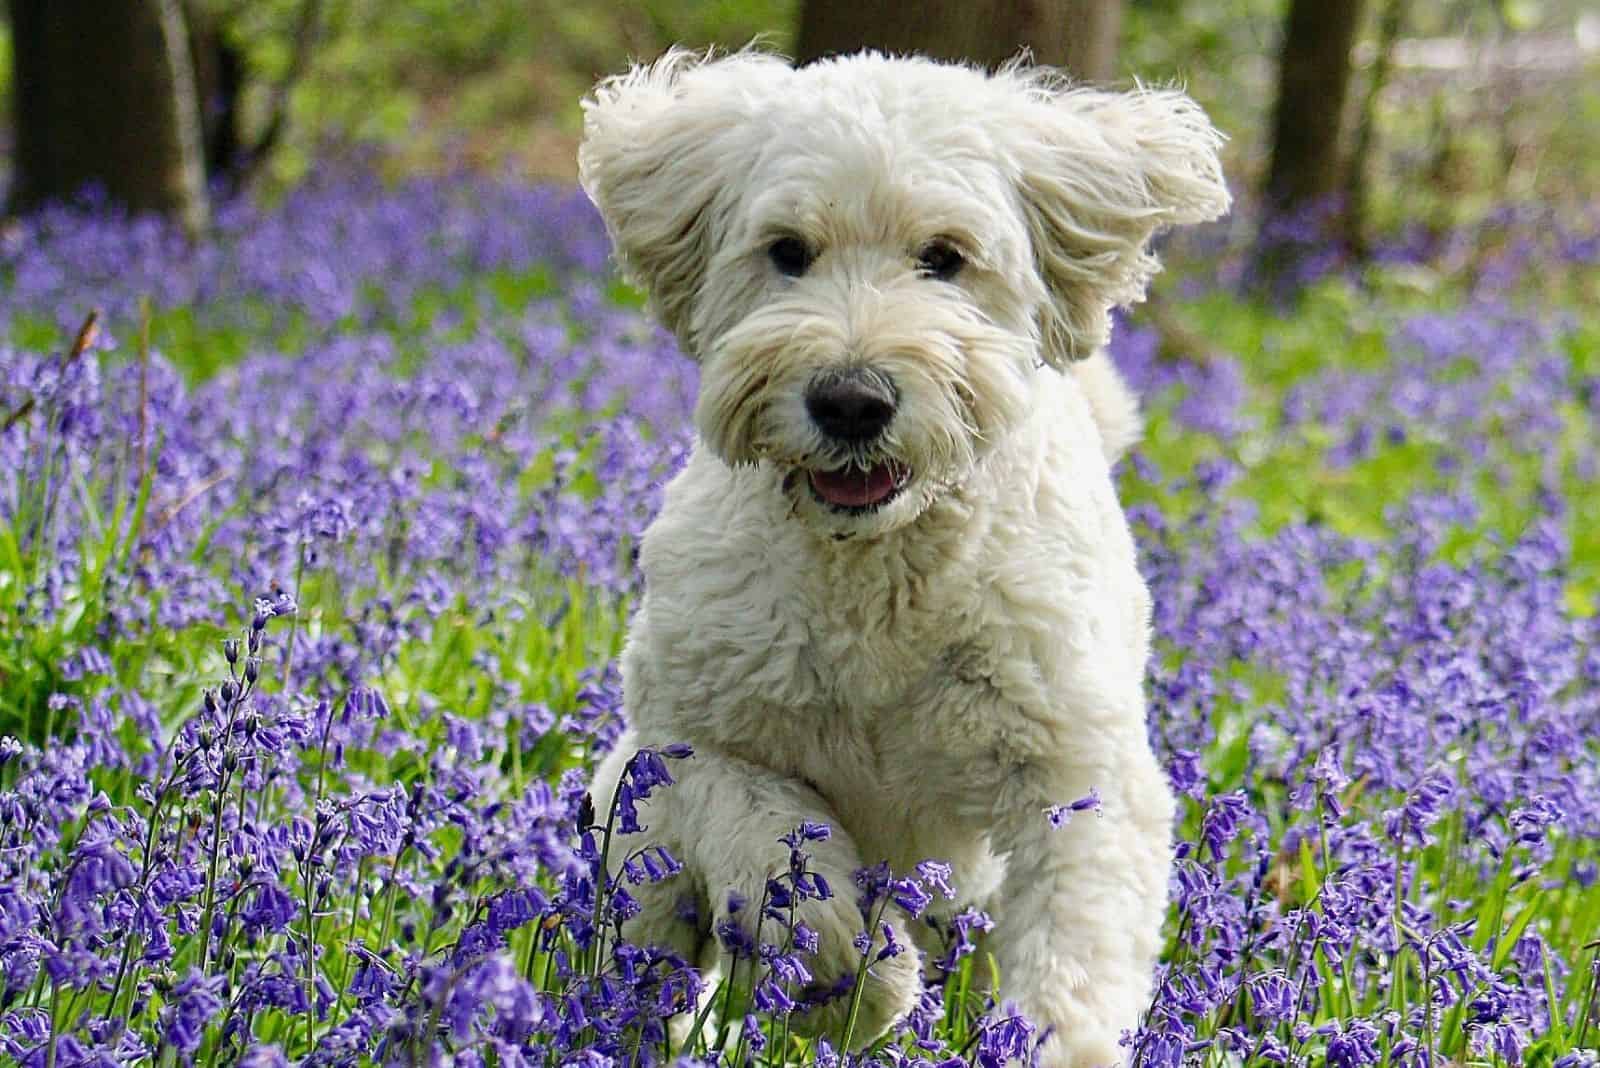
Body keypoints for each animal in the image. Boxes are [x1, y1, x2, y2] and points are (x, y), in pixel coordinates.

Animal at [582, 49, 1228, 1068]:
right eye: (788, 251)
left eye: (946, 257)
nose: (851, 399)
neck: (876, 578)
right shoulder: (687, 744)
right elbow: (773, 831)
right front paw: (853, 977)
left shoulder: (1074, 778)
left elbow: (1075, 955)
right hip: (635, 850)